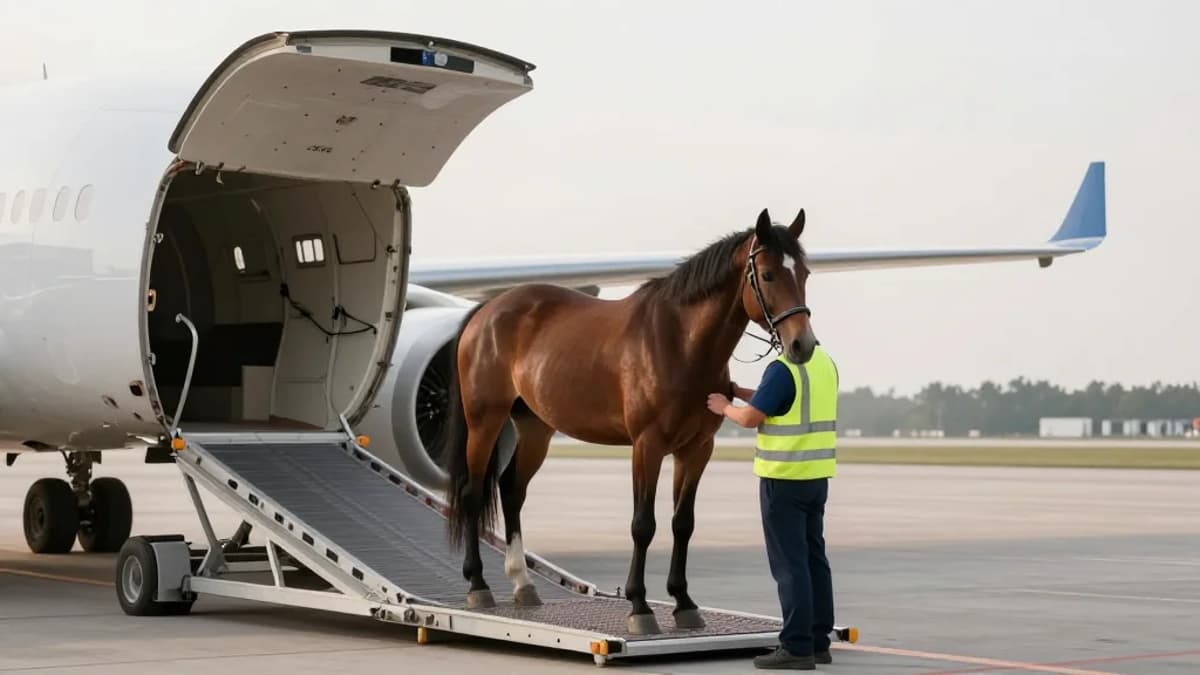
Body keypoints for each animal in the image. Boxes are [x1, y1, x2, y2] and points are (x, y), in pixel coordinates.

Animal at [441, 207, 816, 635]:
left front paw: (684, 603)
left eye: (804, 273)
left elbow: (682, 523)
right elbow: (643, 524)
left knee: (511, 489)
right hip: (484, 421)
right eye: (768, 274)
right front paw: (640, 606)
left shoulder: (696, 450)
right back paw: (478, 584)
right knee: (472, 493)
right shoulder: (647, 446)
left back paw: (522, 583)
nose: (802, 345)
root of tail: (486, 311)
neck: (679, 343)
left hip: (536, 427)